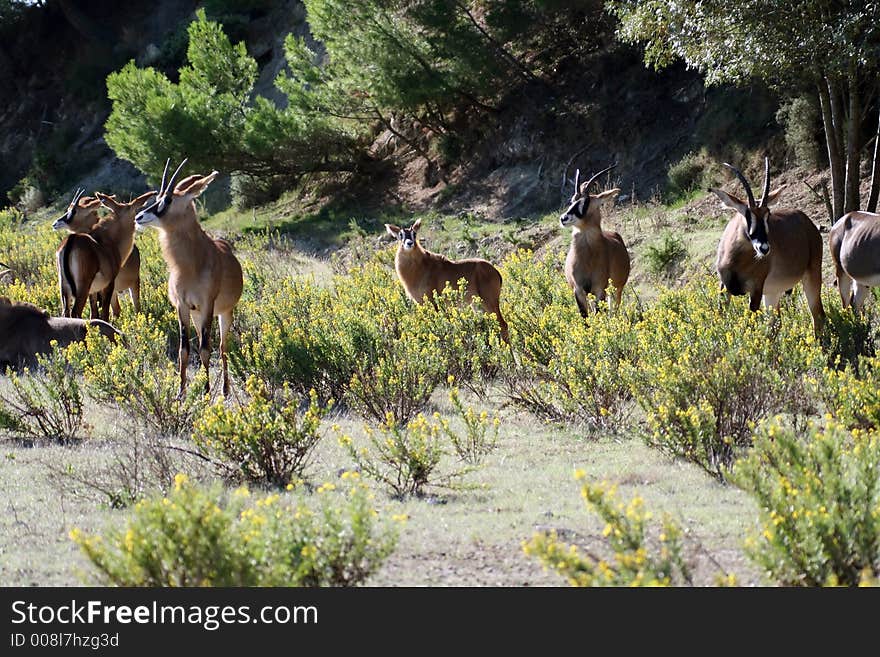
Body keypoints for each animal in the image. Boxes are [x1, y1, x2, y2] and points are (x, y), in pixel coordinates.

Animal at [54, 187, 153, 320]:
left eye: (73, 211)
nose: (138, 220)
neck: (107, 239)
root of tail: (71, 240)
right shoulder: (109, 285)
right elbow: (106, 313)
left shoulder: (94, 291)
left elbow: (95, 314)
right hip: (83, 287)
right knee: (76, 312)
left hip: (65, 288)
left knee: (66, 313)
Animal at [134, 159, 244, 394]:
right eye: (157, 197)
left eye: (168, 199)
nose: (139, 217)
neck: (191, 266)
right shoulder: (183, 307)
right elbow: (184, 349)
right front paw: (181, 392)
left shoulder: (207, 305)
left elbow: (205, 349)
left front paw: (206, 391)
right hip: (196, 315)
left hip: (223, 314)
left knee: (222, 347)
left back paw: (225, 390)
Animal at [560, 160, 628, 312]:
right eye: (572, 200)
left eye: (586, 202)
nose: (563, 218)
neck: (588, 257)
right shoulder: (579, 290)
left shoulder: (599, 289)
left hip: (616, 289)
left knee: (614, 309)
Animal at [708, 156, 824, 336]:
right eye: (747, 215)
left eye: (768, 214)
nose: (764, 248)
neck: (734, 259)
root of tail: (809, 224)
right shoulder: (724, 287)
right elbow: (720, 316)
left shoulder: (756, 289)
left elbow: (750, 326)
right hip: (772, 292)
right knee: (776, 324)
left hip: (811, 277)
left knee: (817, 315)